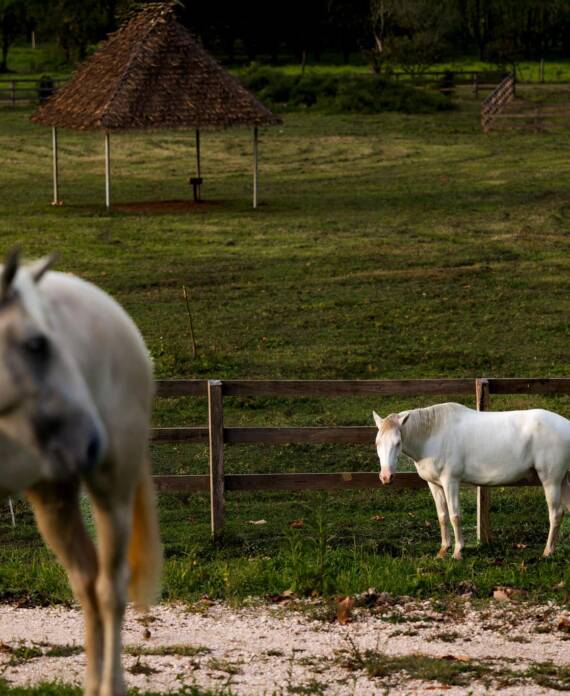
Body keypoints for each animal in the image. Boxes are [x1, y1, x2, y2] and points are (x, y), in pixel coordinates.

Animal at [0, 250, 162, 696]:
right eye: (37, 344)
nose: (91, 441)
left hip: (112, 494)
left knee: (109, 590)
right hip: (52, 499)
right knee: (86, 584)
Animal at [373, 402, 570, 560]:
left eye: (398, 443)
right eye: (377, 443)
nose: (386, 477)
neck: (433, 435)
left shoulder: (450, 482)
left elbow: (454, 515)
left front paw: (458, 551)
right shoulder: (435, 484)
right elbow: (442, 516)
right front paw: (443, 550)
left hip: (551, 480)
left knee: (556, 513)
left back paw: (547, 552)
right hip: (563, 480)